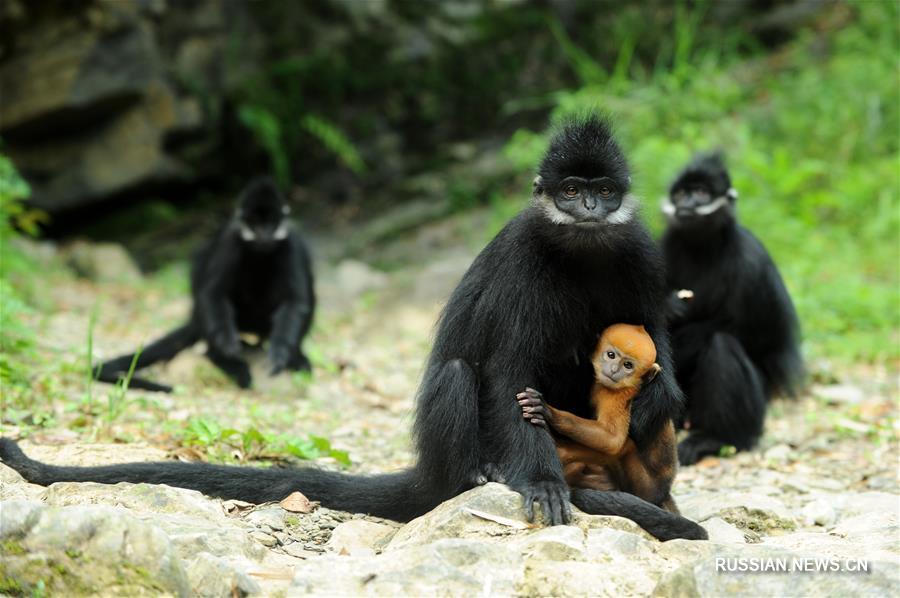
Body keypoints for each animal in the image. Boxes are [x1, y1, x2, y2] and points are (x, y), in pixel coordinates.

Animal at [95, 178, 316, 394]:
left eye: (270, 223)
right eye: (254, 224)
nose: (264, 235)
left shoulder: (292, 242)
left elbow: (297, 301)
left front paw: (281, 354)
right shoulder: (230, 239)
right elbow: (212, 294)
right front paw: (226, 352)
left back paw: (293, 355)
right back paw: (226, 360)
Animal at [516, 326, 680, 512]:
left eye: (628, 365)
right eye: (611, 355)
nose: (614, 370)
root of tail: (664, 491)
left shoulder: (616, 395)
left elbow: (613, 439)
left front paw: (549, 412)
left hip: (645, 486)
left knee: (625, 447)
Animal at [660, 152, 800, 466]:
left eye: (700, 193)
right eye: (681, 194)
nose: (687, 204)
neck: (702, 249)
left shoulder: (750, 260)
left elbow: (759, 338)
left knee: (722, 346)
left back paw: (714, 439)